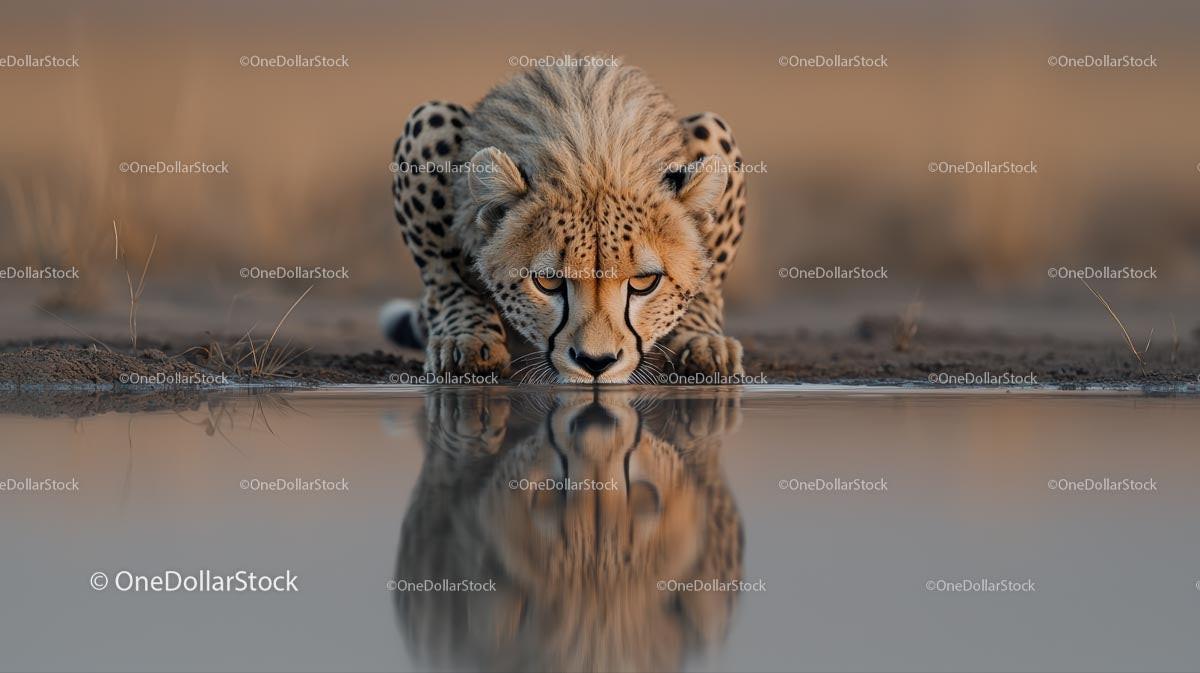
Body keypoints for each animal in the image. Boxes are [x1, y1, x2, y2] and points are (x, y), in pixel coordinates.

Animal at [383, 60, 747, 383]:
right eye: (547, 282)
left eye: (646, 282)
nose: (596, 363)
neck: (594, 159)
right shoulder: (427, 128)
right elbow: (446, 273)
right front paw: (466, 338)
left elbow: (708, 278)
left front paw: (700, 339)